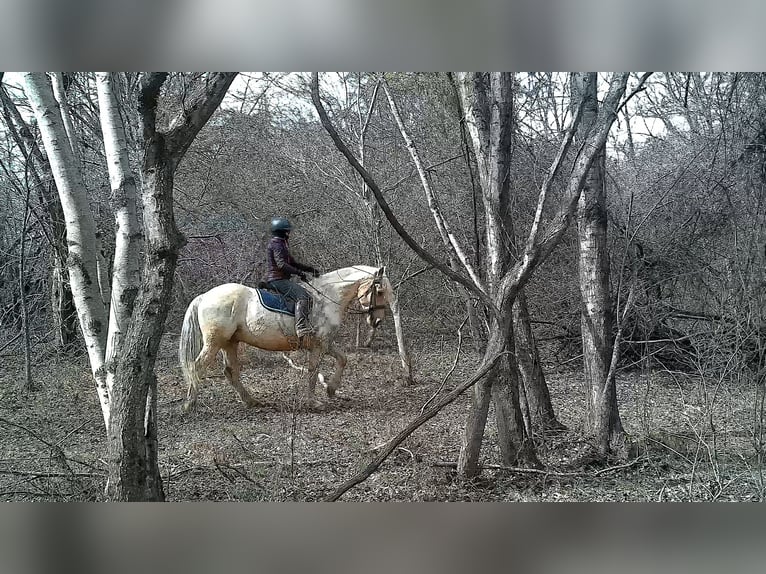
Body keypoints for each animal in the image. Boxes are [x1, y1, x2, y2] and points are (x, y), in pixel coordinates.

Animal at [178, 265, 392, 412]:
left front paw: (331, 389)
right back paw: (190, 404)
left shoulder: (325, 343)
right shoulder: (319, 346)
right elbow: (313, 371)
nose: (377, 321)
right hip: (214, 342)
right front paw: (314, 401)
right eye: (380, 292)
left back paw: (251, 401)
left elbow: (342, 359)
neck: (327, 299)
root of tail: (204, 296)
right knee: (197, 367)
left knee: (231, 372)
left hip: (230, 343)